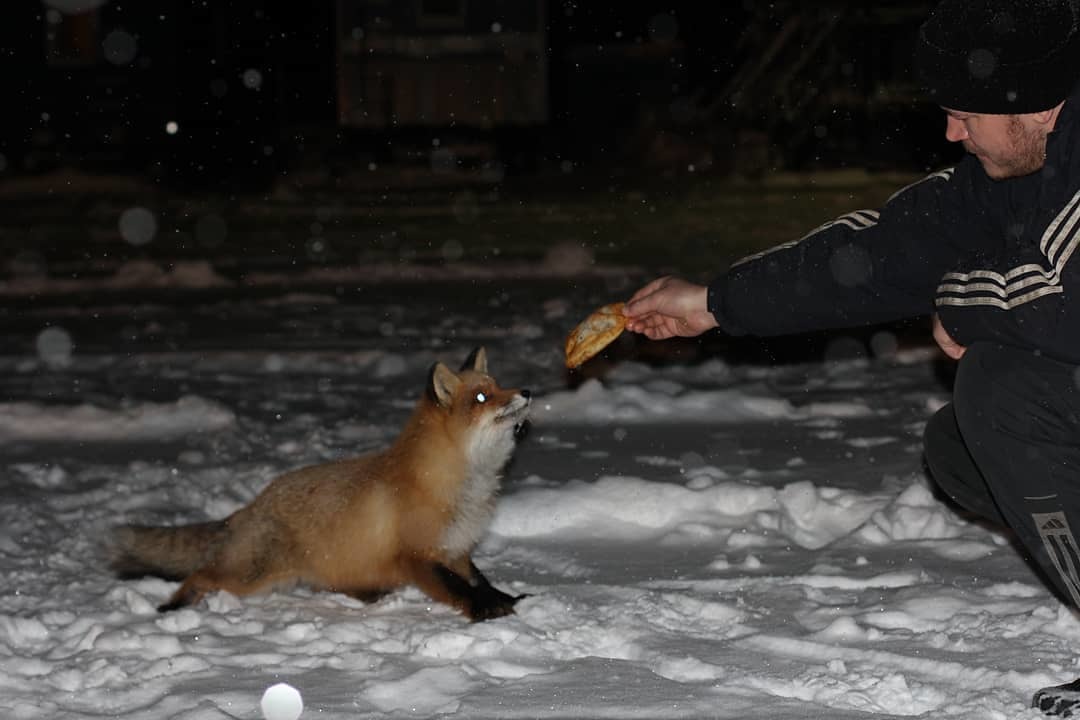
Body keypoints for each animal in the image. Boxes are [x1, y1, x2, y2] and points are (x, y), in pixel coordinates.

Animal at [109, 345, 531, 621]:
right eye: (482, 397)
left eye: (499, 385)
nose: (527, 391)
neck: (464, 485)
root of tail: (251, 505)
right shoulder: (420, 555)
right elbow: (459, 590)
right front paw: (484, 611)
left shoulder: (456, 549)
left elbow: (479, 580)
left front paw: (504, 599)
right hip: (249, 576)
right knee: (202, 574)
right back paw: (173, 606)